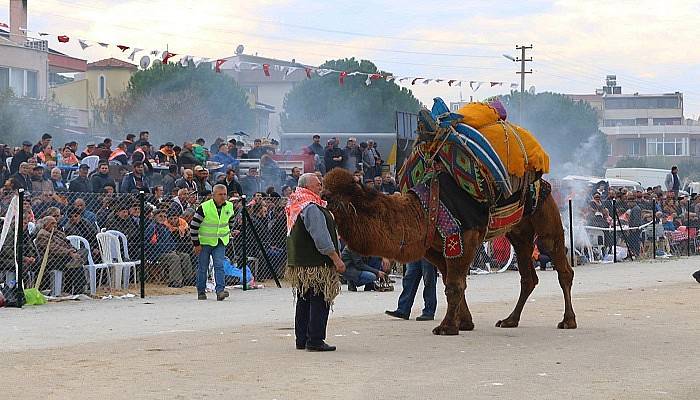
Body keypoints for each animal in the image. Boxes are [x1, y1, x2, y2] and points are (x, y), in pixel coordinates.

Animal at [322, 167, 576, 336]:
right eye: (324, 189)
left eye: (343, 190)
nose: (320, 199)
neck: (423, 212)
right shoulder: (434, 249)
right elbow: (451, 283)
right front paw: (464, 323)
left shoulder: (464, 238)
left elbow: (454, 285)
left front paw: (446, 327)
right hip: (518, 232)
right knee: (528, 276)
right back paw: (510, 320)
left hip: (546, 217)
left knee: (562, 266)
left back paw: (568, 321)